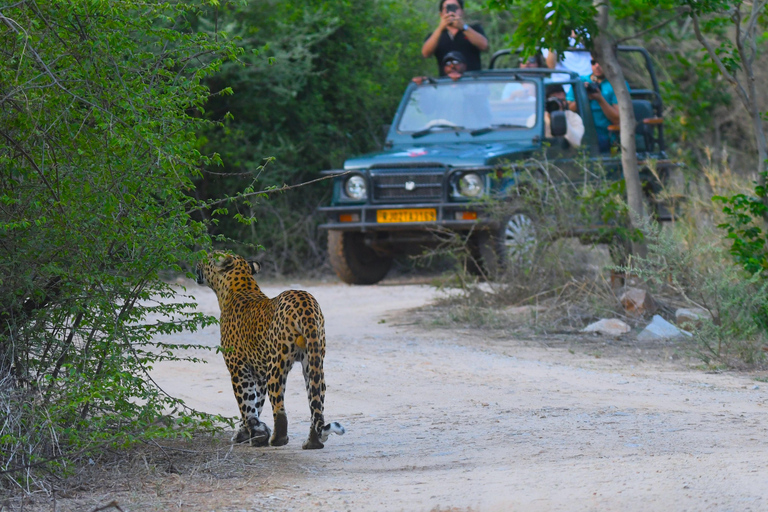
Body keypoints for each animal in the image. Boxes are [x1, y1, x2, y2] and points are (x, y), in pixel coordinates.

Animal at [195, 251, 344, 448]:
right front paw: (251, 432)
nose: (197, 260)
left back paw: (277, 439)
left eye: (208, 256)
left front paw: (251, 434)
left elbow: (246, 403)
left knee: (279, 406)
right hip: (313, 361)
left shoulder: (238, 367)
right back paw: (312, 442)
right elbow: (256, 402)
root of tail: (306, 303)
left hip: (277, 363)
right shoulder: (259, 373)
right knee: (316, 401)